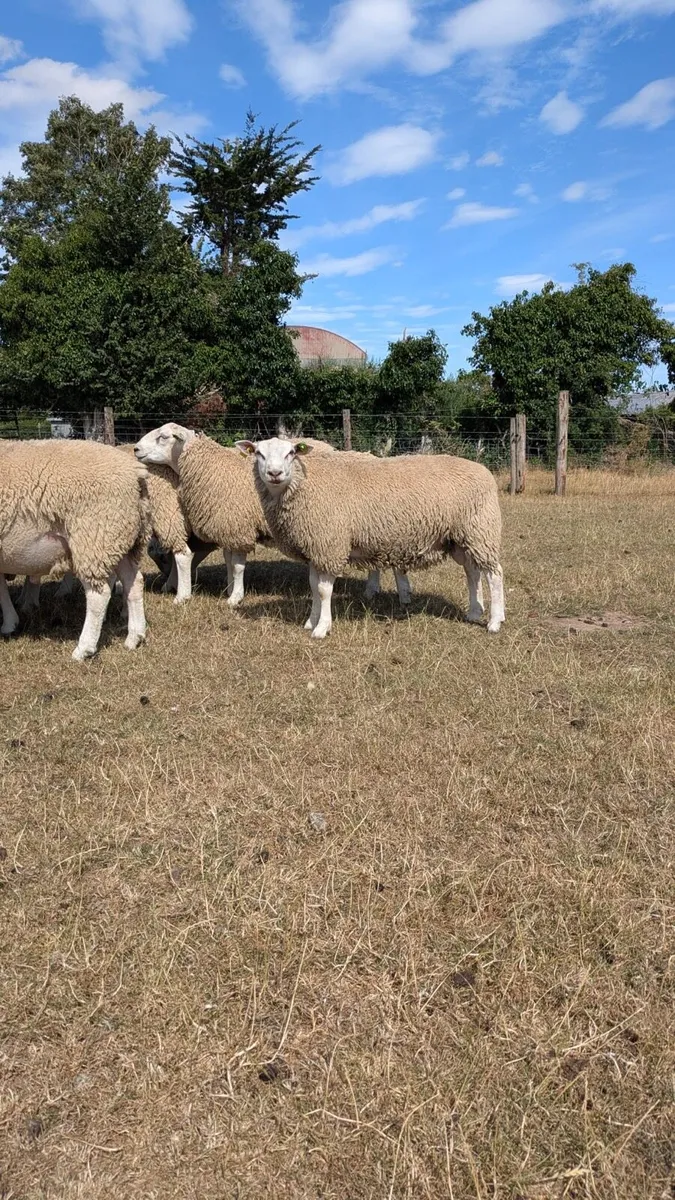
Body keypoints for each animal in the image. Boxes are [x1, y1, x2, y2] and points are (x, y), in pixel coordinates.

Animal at [0, 439, 149, 659]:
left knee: (99, 595)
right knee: (134, 582)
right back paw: (134, 637)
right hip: (119, 538)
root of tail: (134, 471)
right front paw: (10, 623)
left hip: (94, 537)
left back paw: (84, 648)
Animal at [236, 436, 505, 639]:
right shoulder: (316, 548)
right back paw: (474, 612)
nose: (275, 473)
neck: (305, 485)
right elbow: (313, 586)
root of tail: (484, 471)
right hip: (461, 537)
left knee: (494, 574)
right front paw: (311, 621)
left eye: (291, 452)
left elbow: (323, 590)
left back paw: (494, 621)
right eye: (258, 453)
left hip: (481, 530)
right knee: (472, 572)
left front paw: (322, 628)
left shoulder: (330, 545)